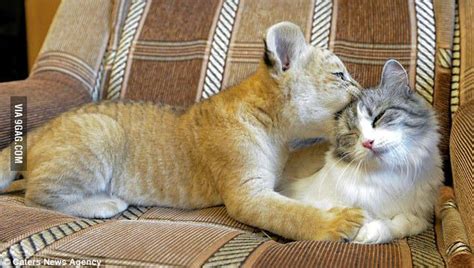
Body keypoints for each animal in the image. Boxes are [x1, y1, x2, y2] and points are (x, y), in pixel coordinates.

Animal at [282, 59, 444, 244]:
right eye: (352, 132)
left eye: (379, 117)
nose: (368, 142)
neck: (390, 178)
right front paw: (358, 231)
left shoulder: (423, 214)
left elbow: (404, 224)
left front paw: (368, 232)